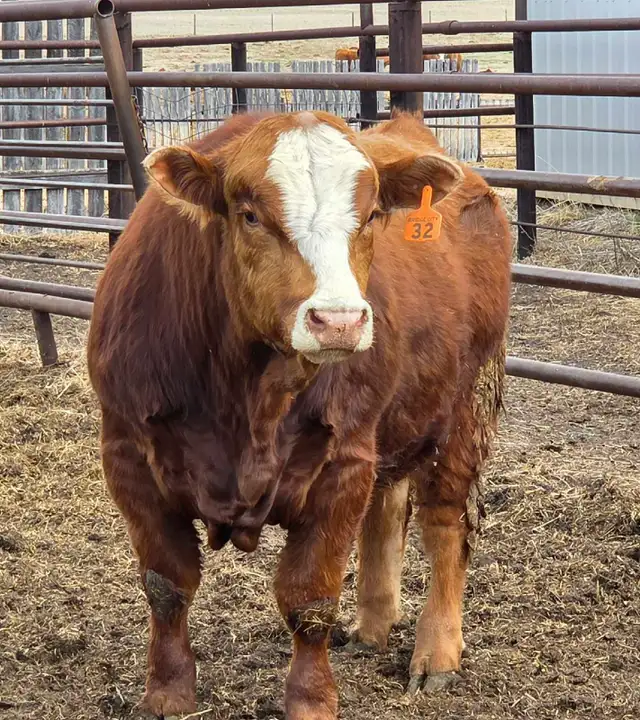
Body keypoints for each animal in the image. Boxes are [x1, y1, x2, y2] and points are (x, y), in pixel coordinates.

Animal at [87, 109, 511, 719]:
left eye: (372, 214)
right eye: (249, 215)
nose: (339, 320)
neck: (245, 397)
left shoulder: (342, 462)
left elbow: (310, 599)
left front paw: (310, 701)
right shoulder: (127, 455)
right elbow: (166, 584)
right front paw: (168, 691)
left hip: (465, 408)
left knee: (446, 523)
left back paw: (436, 653)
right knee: (387, 508)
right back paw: (372, 627)